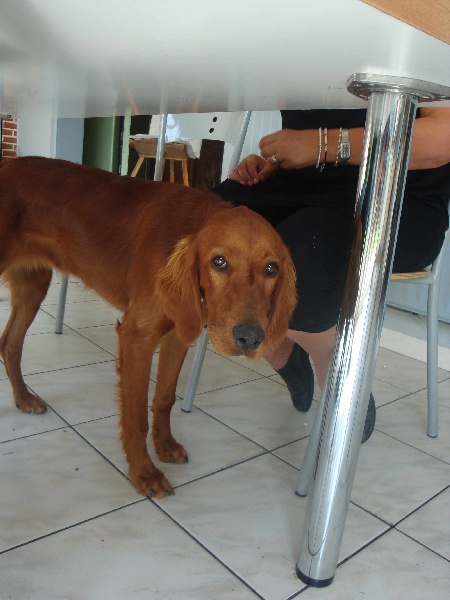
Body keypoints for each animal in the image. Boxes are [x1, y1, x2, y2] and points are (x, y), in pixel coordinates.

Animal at [0, 156, 298, 496]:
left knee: (9, 343)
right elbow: (136, 416)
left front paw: (165, 445)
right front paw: (143, 472)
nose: (250, 338)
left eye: (272, 269)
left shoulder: (178, 335)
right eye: (219, 262)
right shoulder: (136, 339)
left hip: (33, 285)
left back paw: (24, 398)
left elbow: (164, 399)